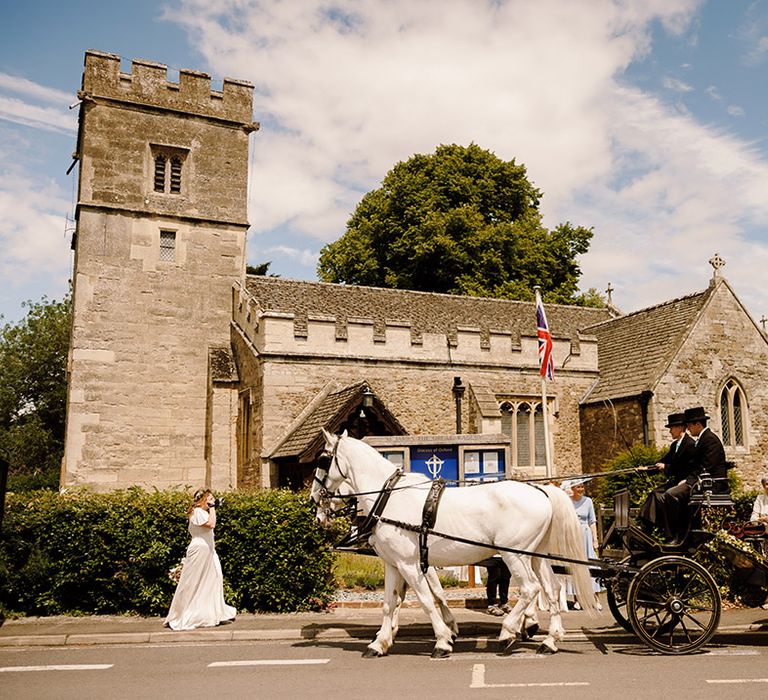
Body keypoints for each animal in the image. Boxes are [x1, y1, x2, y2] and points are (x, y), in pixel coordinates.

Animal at [314, 430, 600, 660]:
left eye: (322, 460)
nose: (314, 499)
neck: (388, 497)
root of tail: (540, 491)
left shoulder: (410, 564)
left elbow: (427, 600)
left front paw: (442, 640)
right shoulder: (393, 565)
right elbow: (390, 603)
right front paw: (380, 643)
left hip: (513, 555)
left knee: (530, 588)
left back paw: (508, 632)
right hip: (534, 554)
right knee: (551, 588)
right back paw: (550, 640)